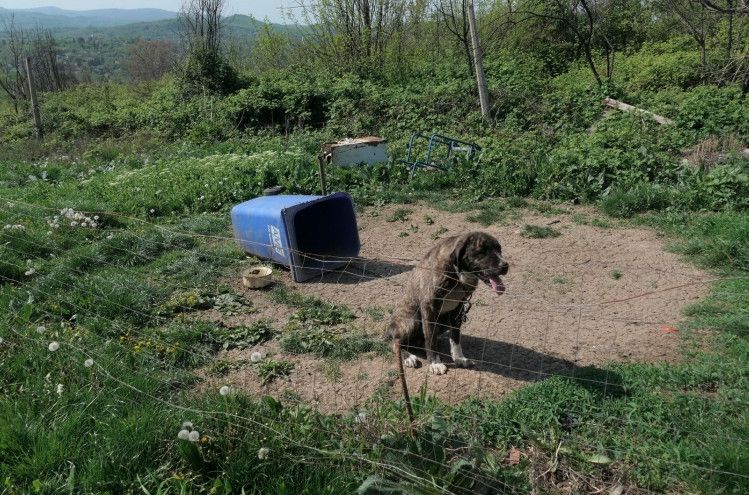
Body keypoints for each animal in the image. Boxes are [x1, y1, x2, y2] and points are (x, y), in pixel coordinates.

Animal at [386, 232, 508, 376]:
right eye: (482, 251)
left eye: (499, 249)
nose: (505, 265)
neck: (455, 275)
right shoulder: (429, 309)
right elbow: (431, 339)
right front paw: (435, 363)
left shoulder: (458, 310)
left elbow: (455, 338)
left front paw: (459, 358)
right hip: (412, 320)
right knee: (396, 342)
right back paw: (408, 356)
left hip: (442, 321)